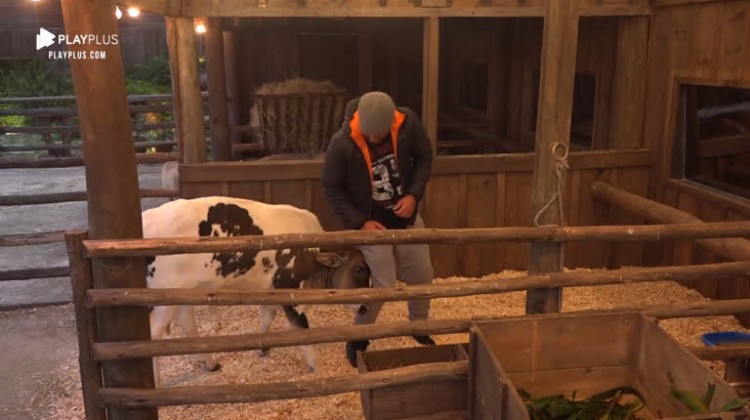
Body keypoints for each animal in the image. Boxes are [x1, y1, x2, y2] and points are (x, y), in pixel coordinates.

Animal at [142, 196, 371, 386]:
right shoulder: (288, 289)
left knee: (187, 323)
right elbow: (302, 328)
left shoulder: (269, 290)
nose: (366, 307)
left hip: (179, 294)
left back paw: (210, 363)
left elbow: (267, 318)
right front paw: (316, 366)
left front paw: (263, 348)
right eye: (359, 269)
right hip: (164, 297)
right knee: (153, 336)